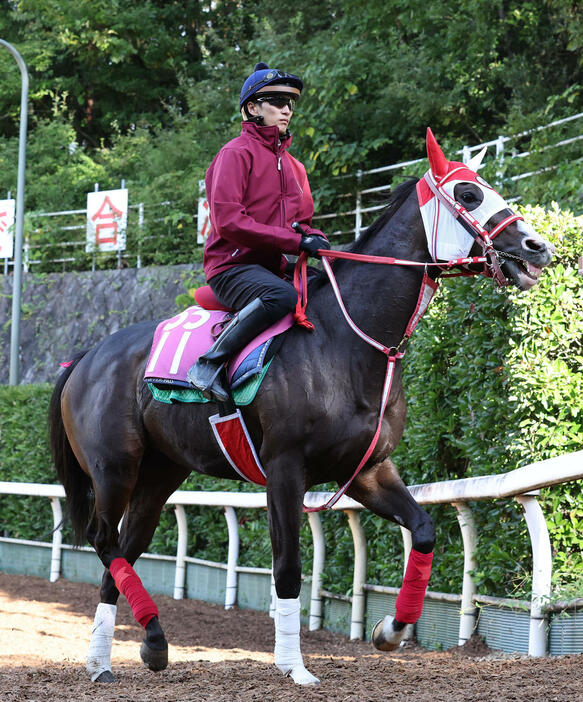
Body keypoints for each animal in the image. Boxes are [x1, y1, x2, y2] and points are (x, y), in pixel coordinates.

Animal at [49, 131, 552, 688]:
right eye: (468, 194)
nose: (539, 247)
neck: (347, 341)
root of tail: (86, 356)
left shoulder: (368, 470)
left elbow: (423, 530)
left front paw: (390, 629)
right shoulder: (285, 469)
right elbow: (288, 566)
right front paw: (294, 666)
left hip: (161, 473)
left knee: (123, 549)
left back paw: (118, 655)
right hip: (115, 467)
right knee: (104, 538)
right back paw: (137, 645)